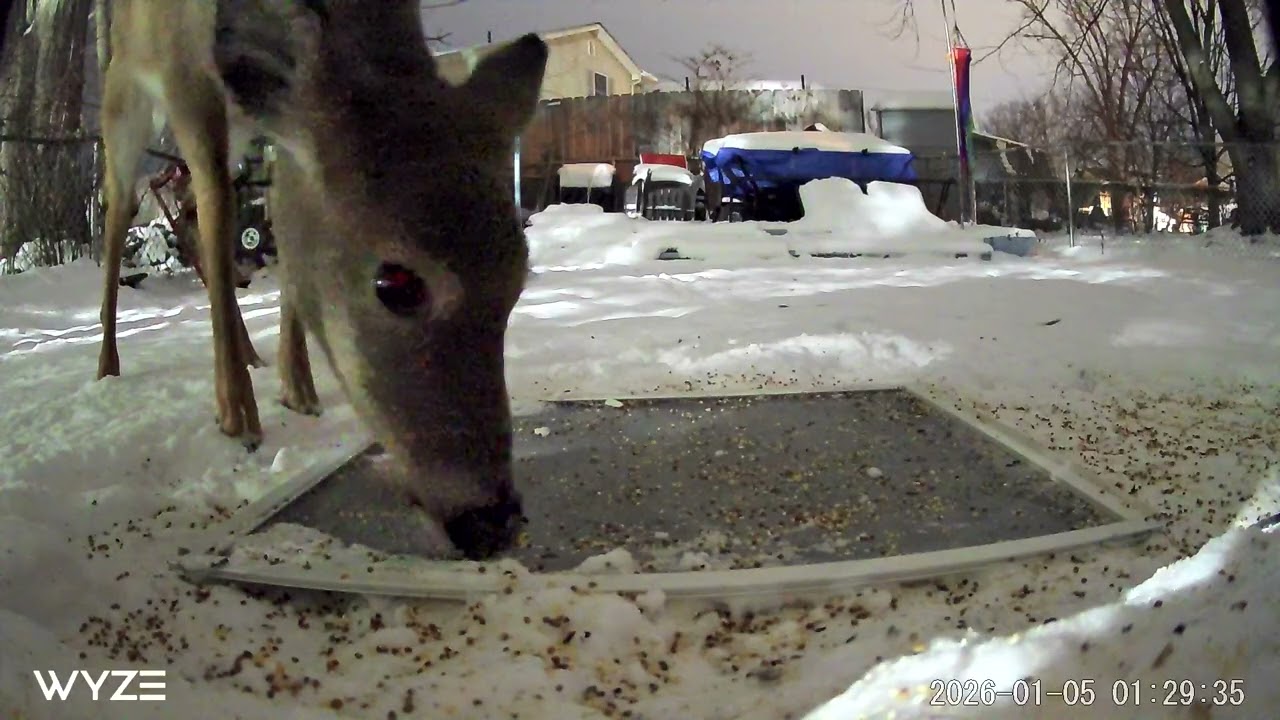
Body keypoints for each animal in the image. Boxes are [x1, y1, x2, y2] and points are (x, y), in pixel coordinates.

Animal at [95, 0, 548, 560]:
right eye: (396, 283)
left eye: (517, 281)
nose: (491, 522)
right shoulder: (188, 83)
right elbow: (222, 211)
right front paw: (238, 416)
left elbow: (274, 215)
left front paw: (298, 388)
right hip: (124, 96)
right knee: (120, 211)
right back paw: (109, 365)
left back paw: (252, 353)